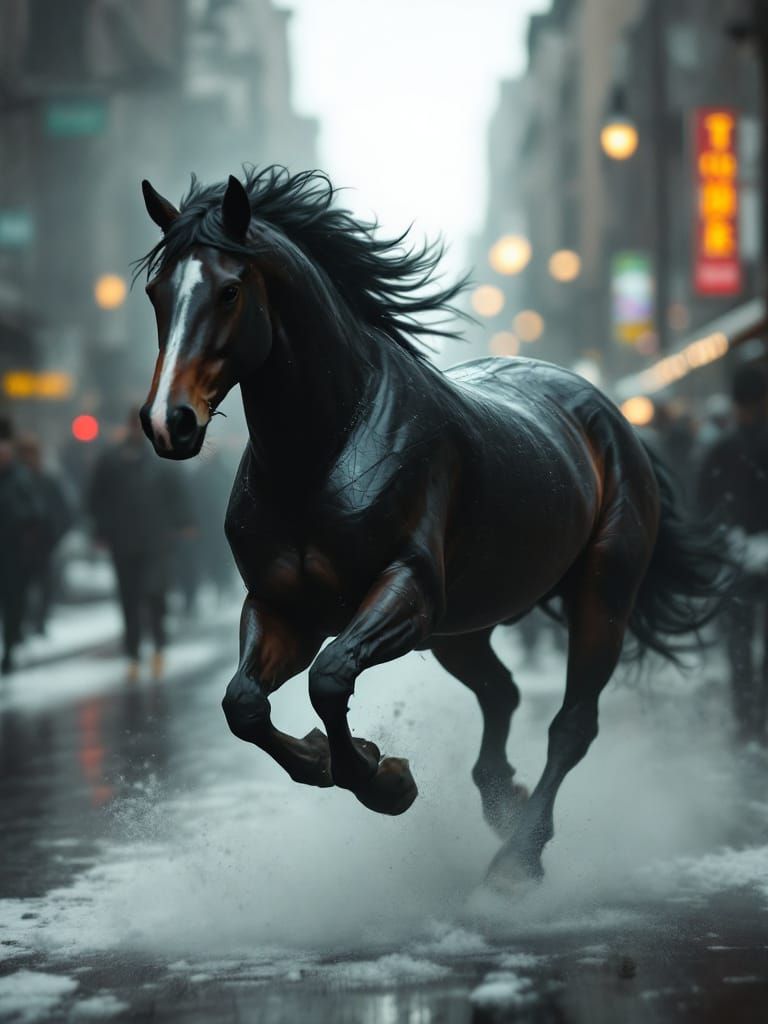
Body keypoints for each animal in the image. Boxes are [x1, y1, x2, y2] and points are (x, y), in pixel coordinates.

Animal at [136, 167, 722, 886]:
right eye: (156, 292)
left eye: (228, 290)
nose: (169, 422)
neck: (320, 456)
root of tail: (610, 415)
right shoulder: (283, 608)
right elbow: (242, 703)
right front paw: (334, 759)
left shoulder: (406, 592)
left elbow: (329, 677)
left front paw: (384, 779)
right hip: (462, 628)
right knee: (501, 694)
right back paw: (502, 801)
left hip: (599, 596)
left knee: (572, 724)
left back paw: (517, 857)